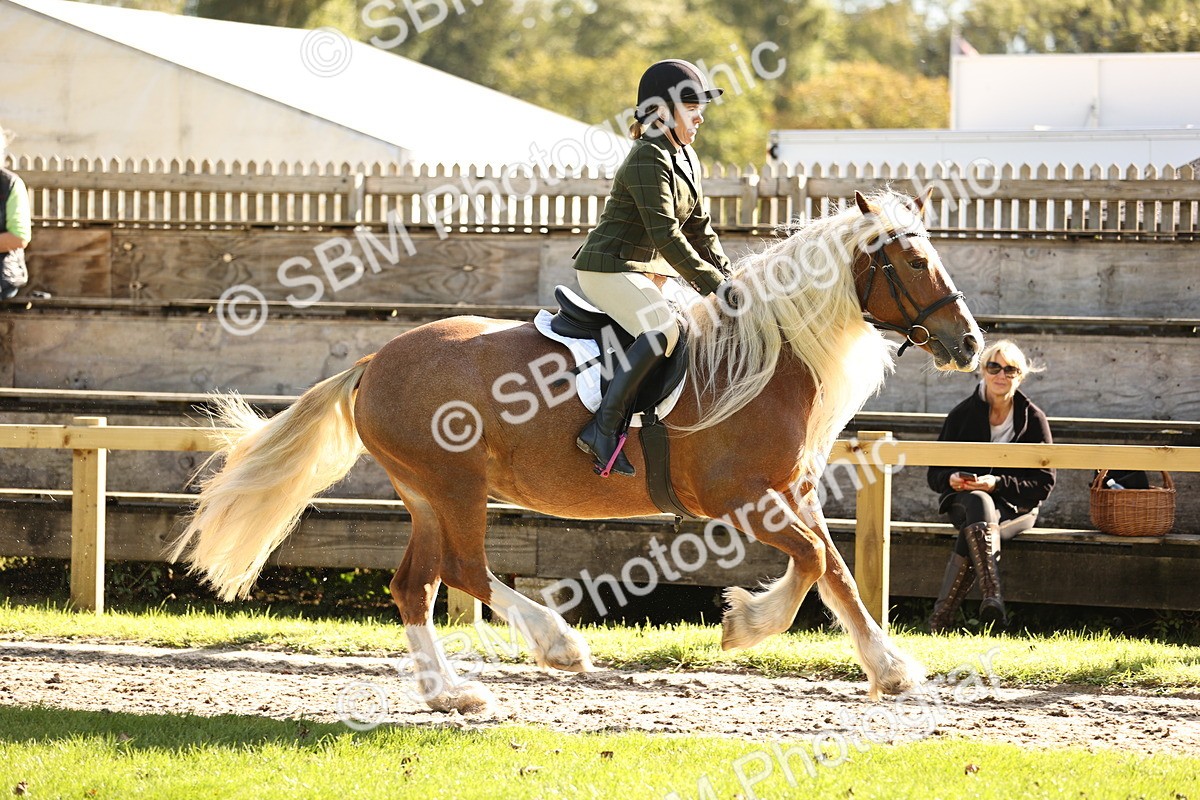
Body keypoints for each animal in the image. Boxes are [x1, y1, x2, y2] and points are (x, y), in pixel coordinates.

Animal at [171, 189, 983, 714]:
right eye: (915, 264)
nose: (970, 343)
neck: (768, 355)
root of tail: (373, 361)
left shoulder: (791, 493)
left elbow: (836, 571)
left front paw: (891, 669)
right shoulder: (742, 500)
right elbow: (813, 564)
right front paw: (745, 625)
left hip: (426, 494)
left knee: (415, 585)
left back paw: (451, 694)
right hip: (455, 487)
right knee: (465, 571)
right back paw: (555, 644)